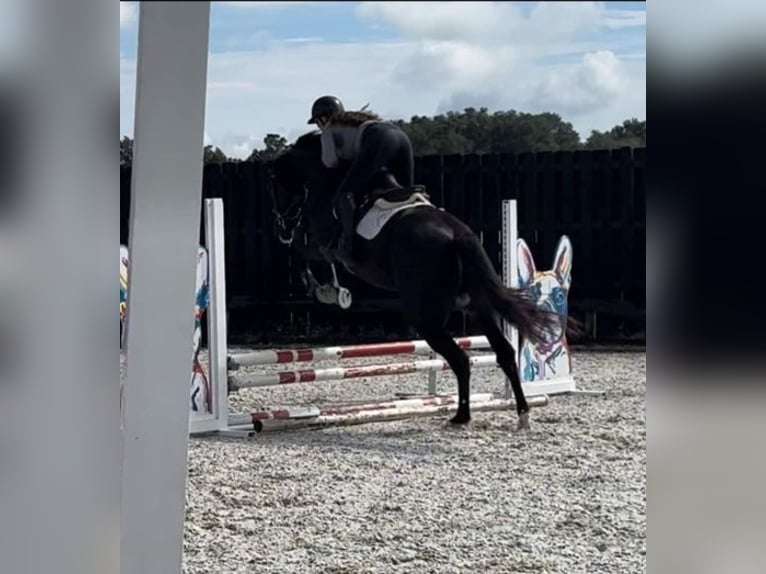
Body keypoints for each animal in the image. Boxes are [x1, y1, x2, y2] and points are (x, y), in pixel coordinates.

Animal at [268, 129, 560, 428]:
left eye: (275, 185)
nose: (282, 228)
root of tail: (458, 234)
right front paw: (329, 290)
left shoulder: (325, 242)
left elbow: (302, 253)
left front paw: (324, 290)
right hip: (478, 308)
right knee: (505, 354)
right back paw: (522, 413)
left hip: (426, 319)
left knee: (461, 359)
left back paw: (461, 416)